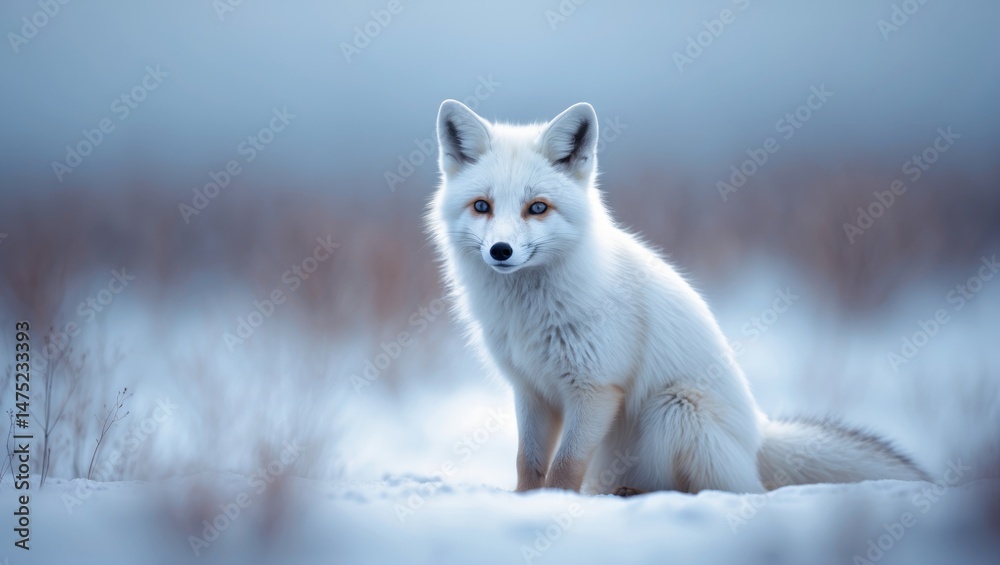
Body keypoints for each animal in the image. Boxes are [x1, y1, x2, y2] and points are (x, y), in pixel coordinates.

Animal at [427, 99, 929, 495]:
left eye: (537, 208)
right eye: (482, 206)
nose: (501, 251)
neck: (526, 314)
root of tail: (759, 436)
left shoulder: (594, 387)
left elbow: (565, 468)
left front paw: (555, 504)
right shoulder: (531, 389)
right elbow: (528, 465)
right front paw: (526, 502)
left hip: (674, 409)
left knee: (718, 490)